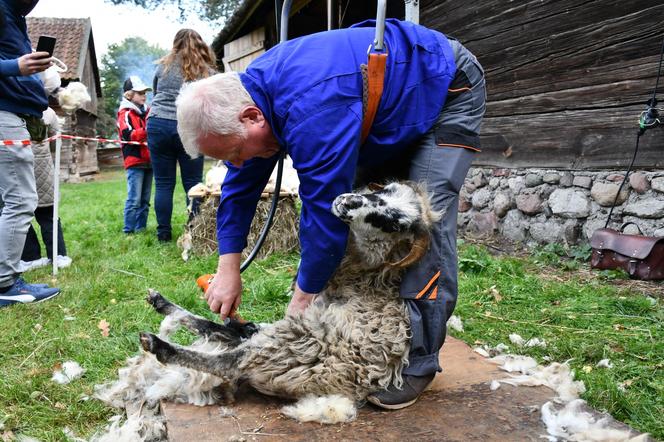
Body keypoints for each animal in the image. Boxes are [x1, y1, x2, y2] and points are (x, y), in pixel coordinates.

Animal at [137, 180, 440, 424]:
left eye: (393, 224)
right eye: (384, 190)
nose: (347, 200)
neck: (364, 282)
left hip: (295, 344)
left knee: (228, 362)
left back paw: (158, 344)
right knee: (226, 331)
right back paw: (161, 303)